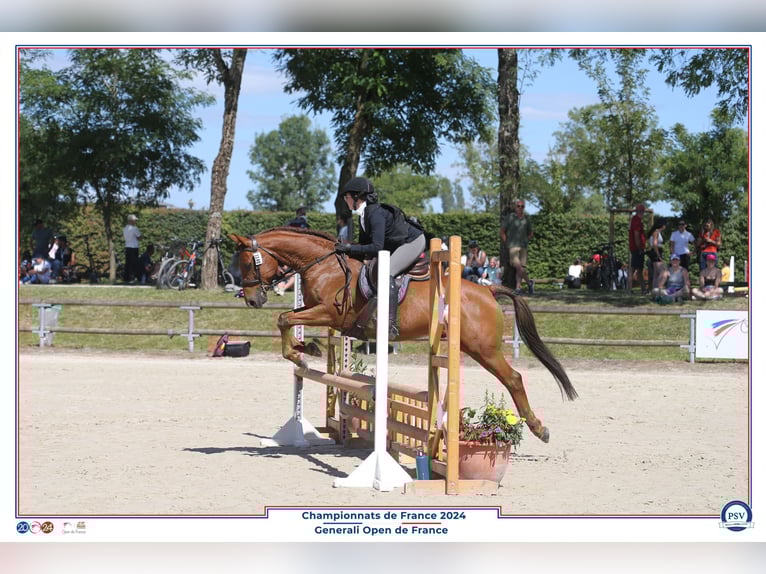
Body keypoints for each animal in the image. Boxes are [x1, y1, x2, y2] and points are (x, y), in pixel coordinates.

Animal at [229, 227, 577, 443]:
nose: (252, 300)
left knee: (514, 379)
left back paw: (539, 428)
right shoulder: (318, 311)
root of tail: (488, 290)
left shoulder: (331, 314)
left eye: (246, 264)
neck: (324, 265)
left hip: (484, 349)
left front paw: (302, 352)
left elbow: (284, 318)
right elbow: (288, 319)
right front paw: (305, 349)